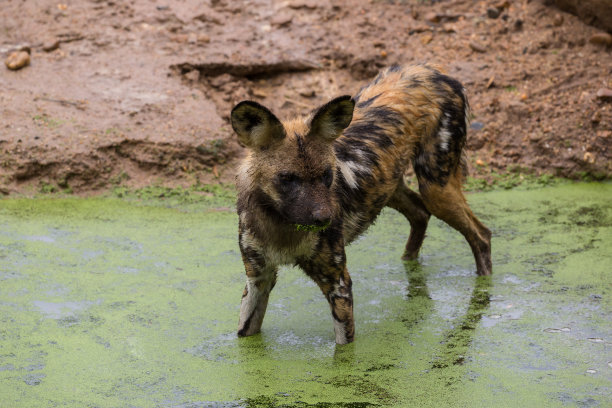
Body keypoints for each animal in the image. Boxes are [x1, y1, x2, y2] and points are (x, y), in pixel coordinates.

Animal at [230, 63, 492, 344]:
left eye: (327, 175)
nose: (326, 218)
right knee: (421, 214)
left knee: (481, 235)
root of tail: (434, 71)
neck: (280, 224)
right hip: (391, 187)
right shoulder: (258, 280)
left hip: (436, 190)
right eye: (287, 179)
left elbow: (344, 348)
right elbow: (244, 334)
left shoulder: (337, 284)